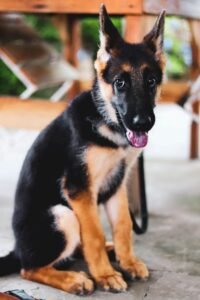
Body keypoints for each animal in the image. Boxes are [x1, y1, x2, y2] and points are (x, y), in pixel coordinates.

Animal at [0, 4, 166, 296]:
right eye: (120, 83)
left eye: (151, 81)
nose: (142, 123)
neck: (107, 124)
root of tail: (17, 250)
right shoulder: (79, 189)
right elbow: (95, 234)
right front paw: (105, 275)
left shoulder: (116, 185)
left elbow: (123, 226)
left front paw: (127, 261)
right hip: (62, 215)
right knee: (29, 268)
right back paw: (74, 279)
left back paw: (108, 254)